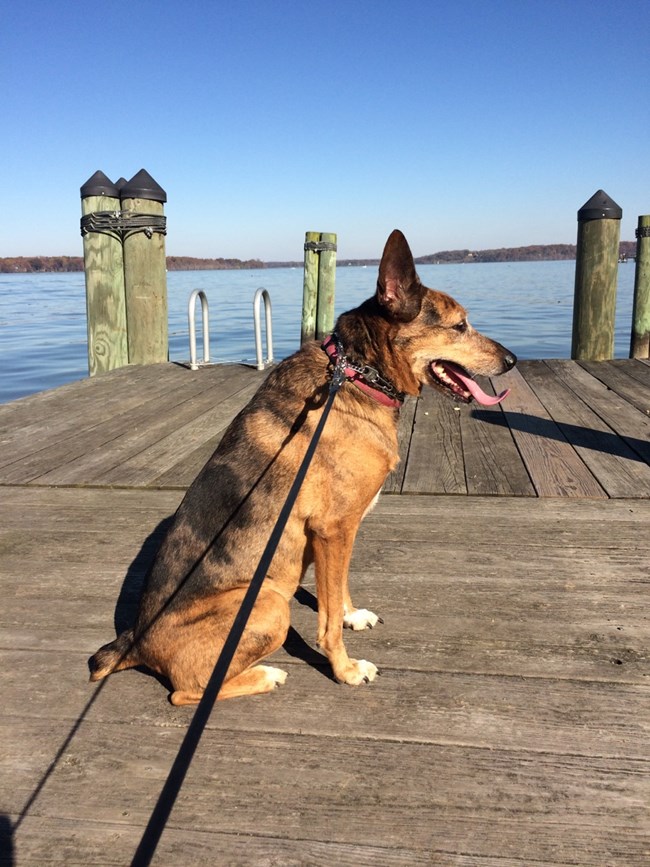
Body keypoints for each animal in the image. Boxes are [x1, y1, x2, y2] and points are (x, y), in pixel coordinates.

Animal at [88, 231, 512, 704]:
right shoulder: (333, 529)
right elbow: (326, 625)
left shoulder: (340, 534)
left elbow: (338, 588)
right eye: (459, 326)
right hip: (271, 603)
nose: (512, 360)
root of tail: (136, 644)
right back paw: (266, 675)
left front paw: (351, 615)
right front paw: (346, 670)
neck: (357, 373)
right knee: (186, 691)